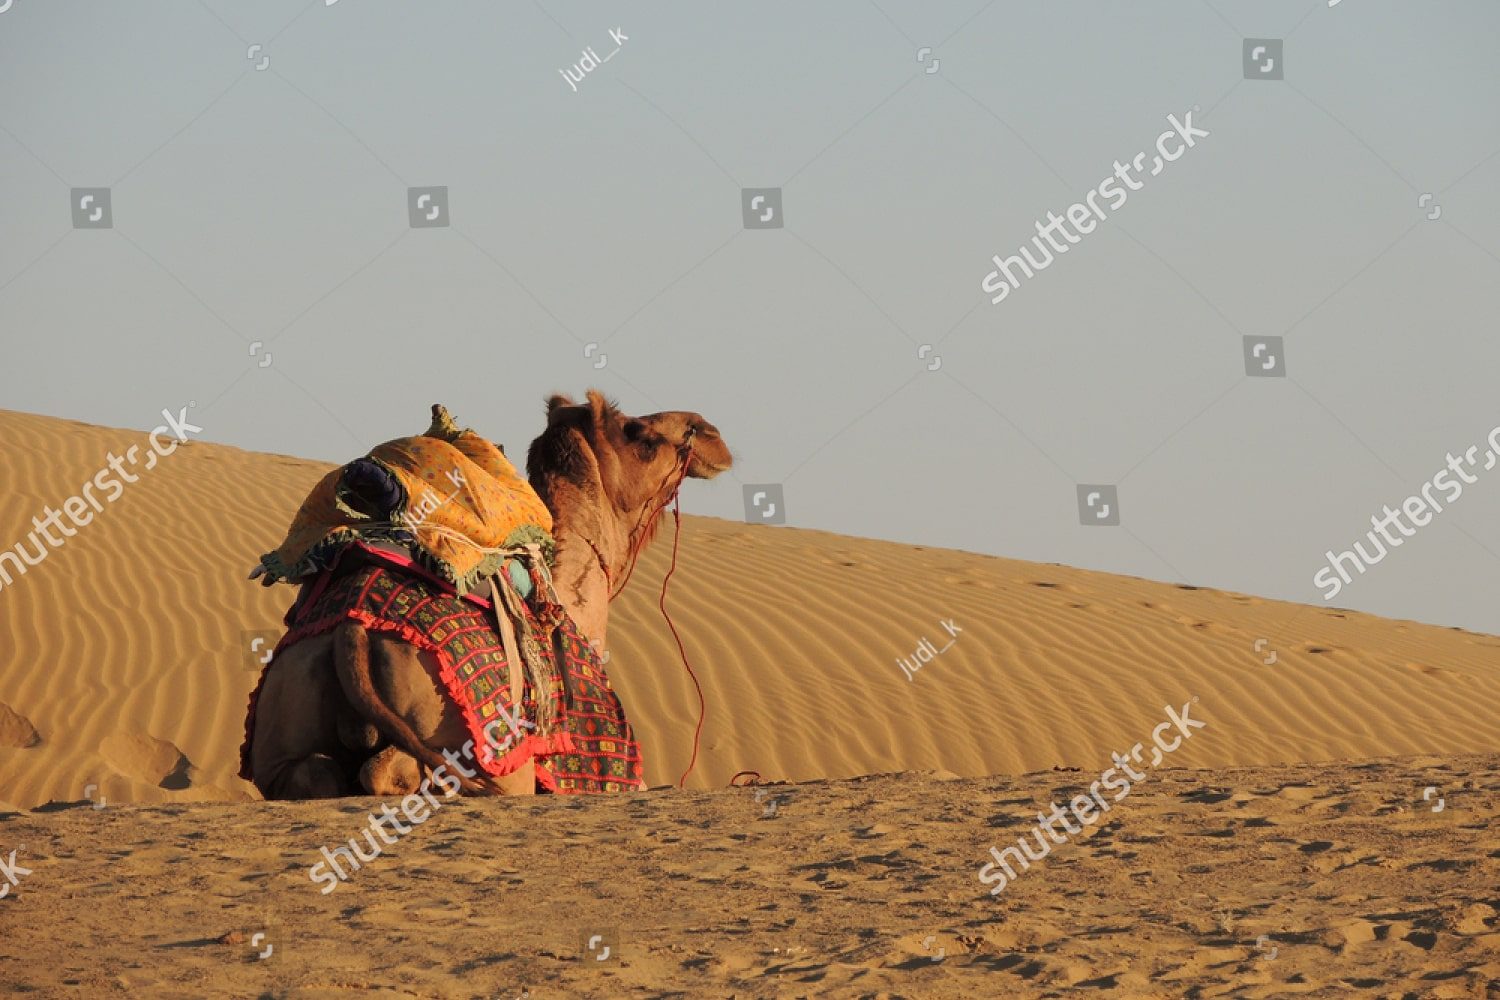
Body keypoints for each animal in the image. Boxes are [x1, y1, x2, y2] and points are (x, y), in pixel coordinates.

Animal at [247, 390, 733, 800]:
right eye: (640, 435)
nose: (710, 431)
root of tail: (352, 632)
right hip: (484, 755)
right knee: (392, 771)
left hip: (284, 725)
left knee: (317, 772)